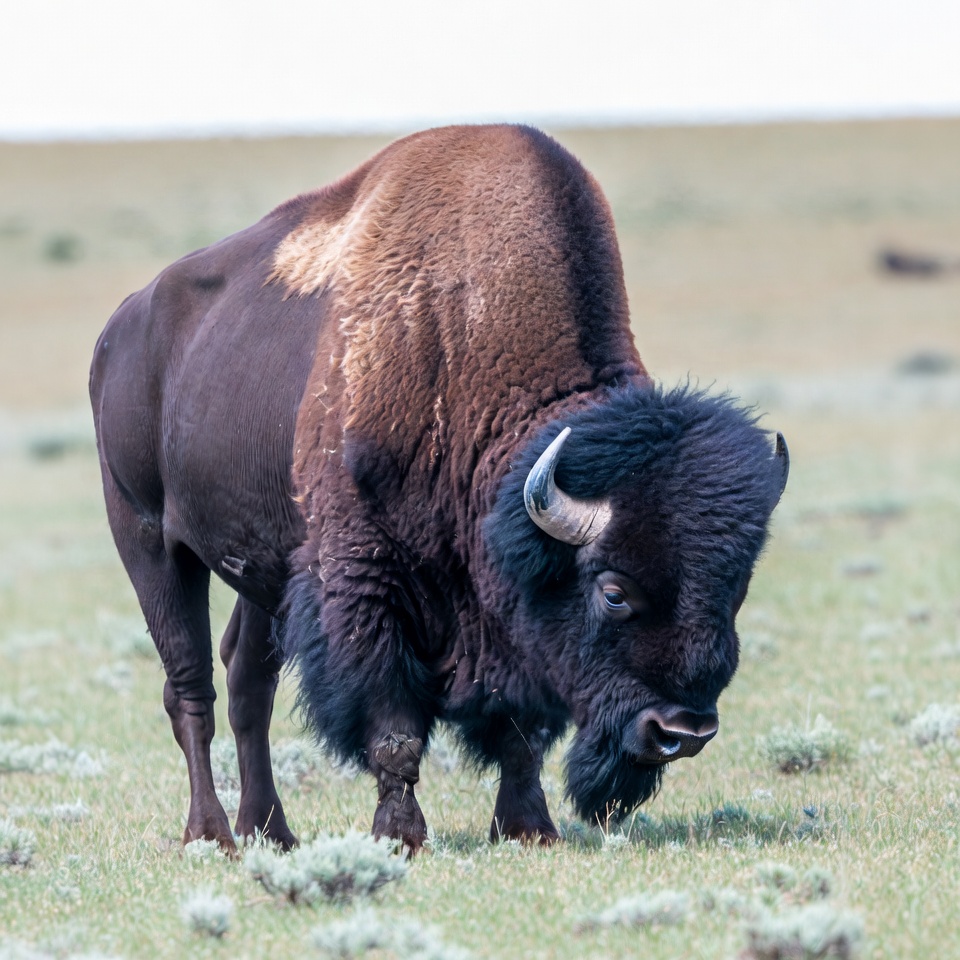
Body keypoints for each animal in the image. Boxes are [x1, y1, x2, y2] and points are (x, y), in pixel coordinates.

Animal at [90, 124, 788, 854]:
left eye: (736, 588)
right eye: (614, 591)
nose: (682, 732)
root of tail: (119, 332)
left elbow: (522, 733)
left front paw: (529, 829)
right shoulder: (368, 583)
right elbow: (395, 726)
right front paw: (401, 836)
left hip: (267, 572)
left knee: (247, 680)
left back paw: (272, 832)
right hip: (151, 543)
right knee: (189, 686)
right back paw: (212, 834)